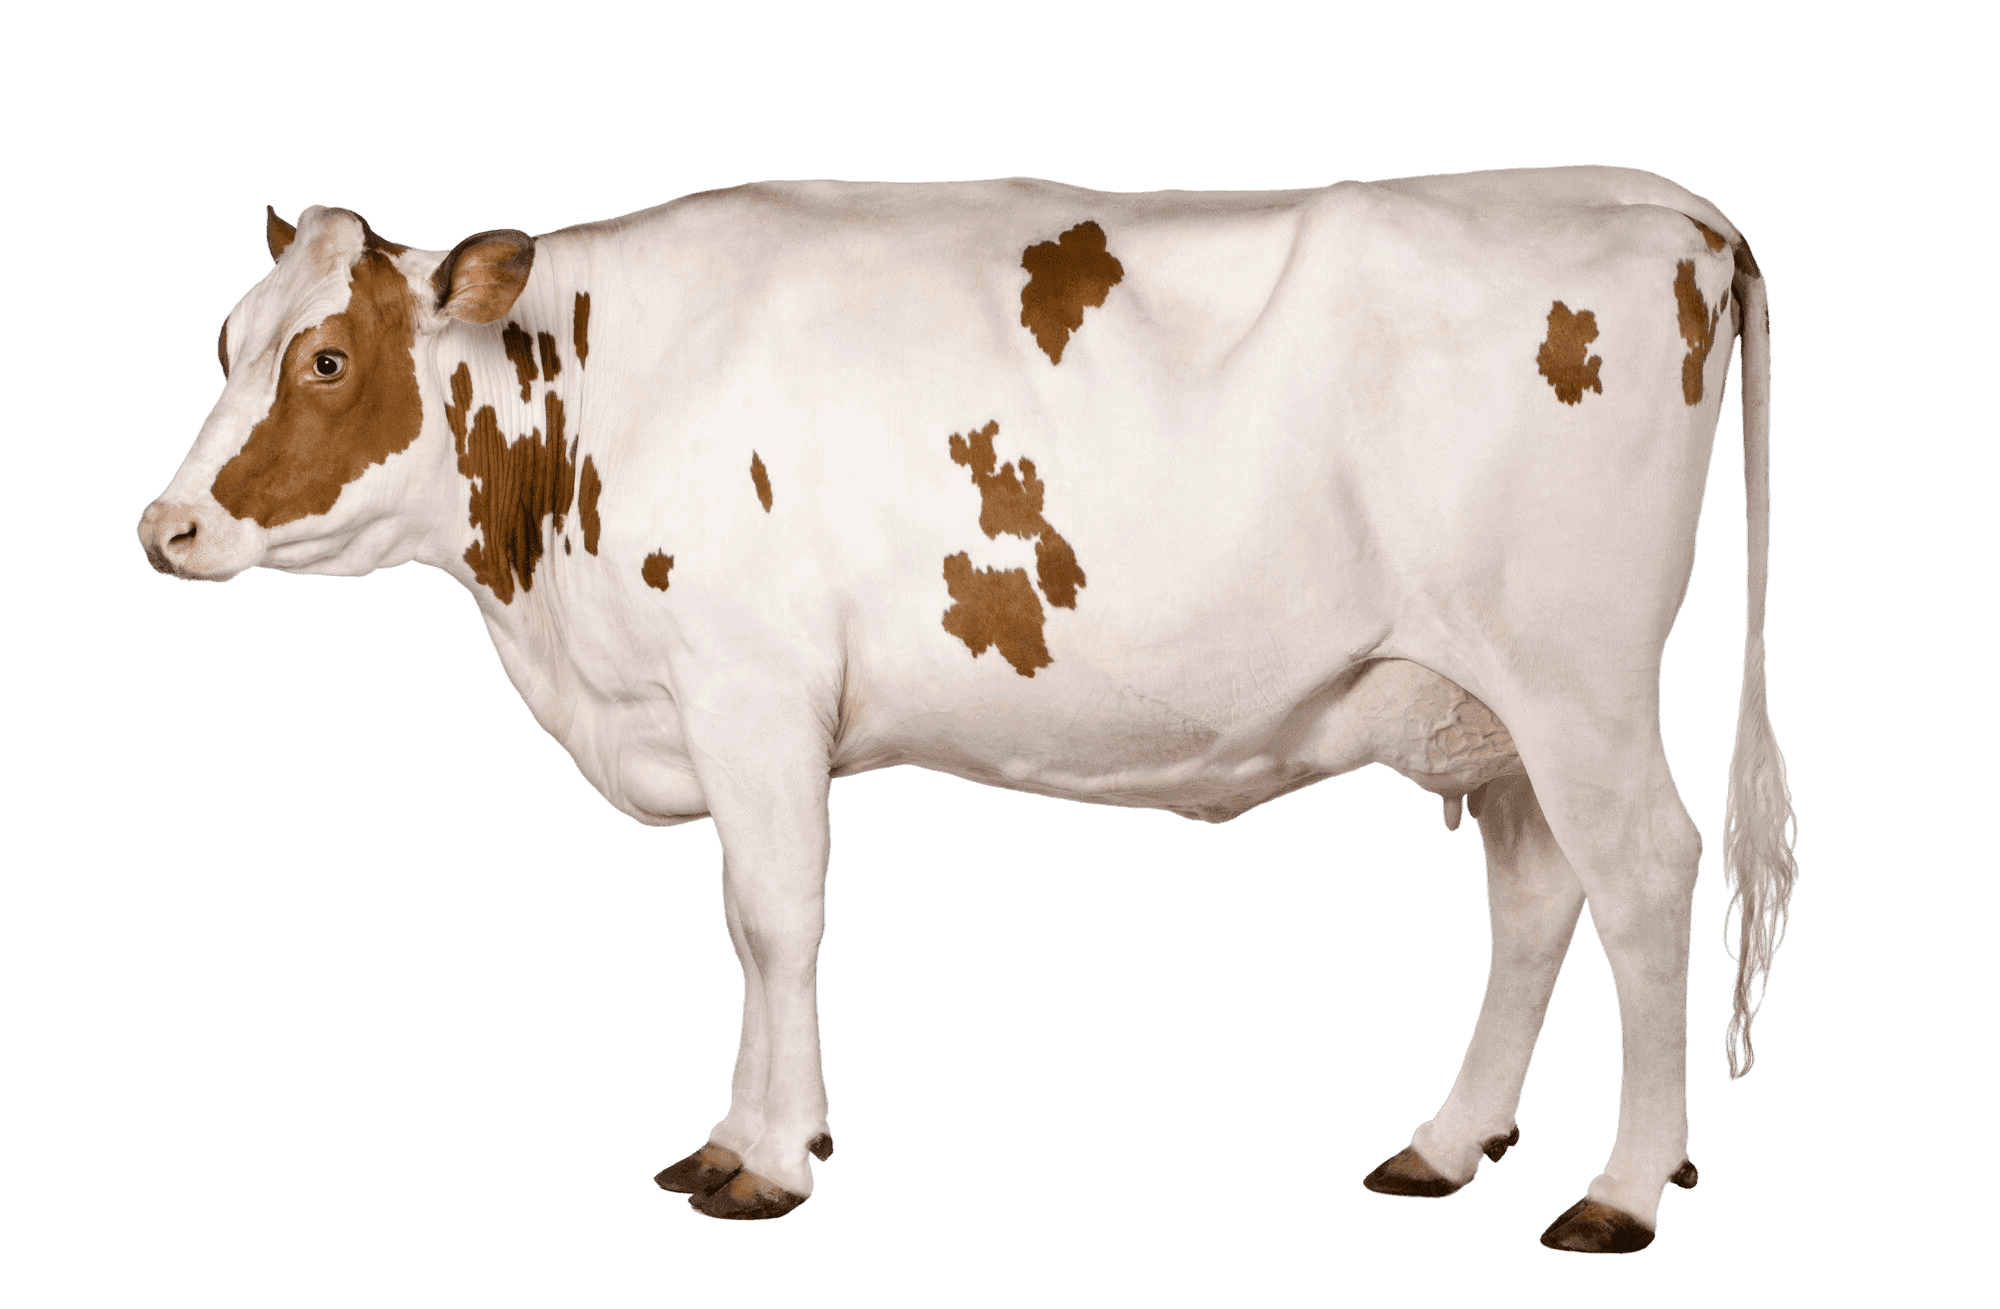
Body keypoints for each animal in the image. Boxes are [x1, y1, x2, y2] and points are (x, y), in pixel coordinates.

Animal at [138, 166, 1797, 1252]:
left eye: (328, 358)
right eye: (224, 340)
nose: (164, 528)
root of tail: (1650, 203)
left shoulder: (751, 682)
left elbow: (776, 916)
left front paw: (769, 1162)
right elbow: (747, 920)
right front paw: (749, 1131)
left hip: (1579, 675)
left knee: (1644, 876)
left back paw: (1623, 1187)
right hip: (1487, 699)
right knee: (1534, 893)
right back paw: (1449, 1146)